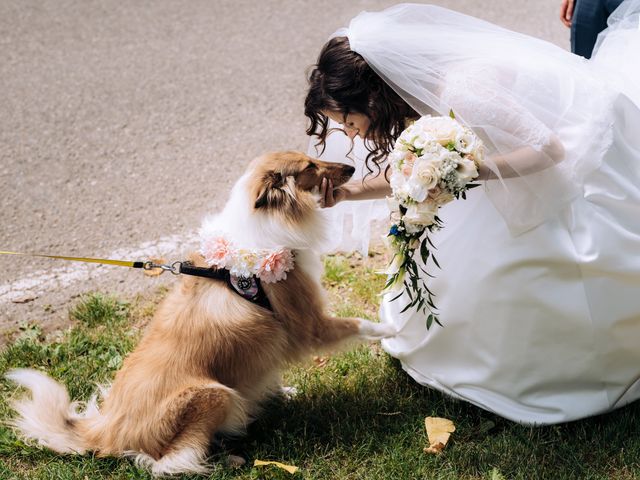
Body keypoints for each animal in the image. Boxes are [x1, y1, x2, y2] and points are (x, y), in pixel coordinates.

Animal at [6, 151, 396, 476]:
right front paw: (393, 329)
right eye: (309, 167)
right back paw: (223, 458)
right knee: (164, 463)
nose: (352, 169)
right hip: (212, 394)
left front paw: (280, 390)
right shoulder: (311, 323)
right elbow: (360, 323)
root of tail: (104, 432)